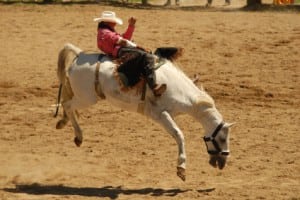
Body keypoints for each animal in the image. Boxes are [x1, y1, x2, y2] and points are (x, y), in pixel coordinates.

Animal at [55, 43, 236, 180]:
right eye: (222, 138)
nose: (223, 162)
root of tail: (80, 55)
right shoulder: (160, 114)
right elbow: (179, 134)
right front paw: (181, 168)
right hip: (87, 98)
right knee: (67, 104)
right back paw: (78, 135)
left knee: (67, 105)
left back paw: (64, 123)